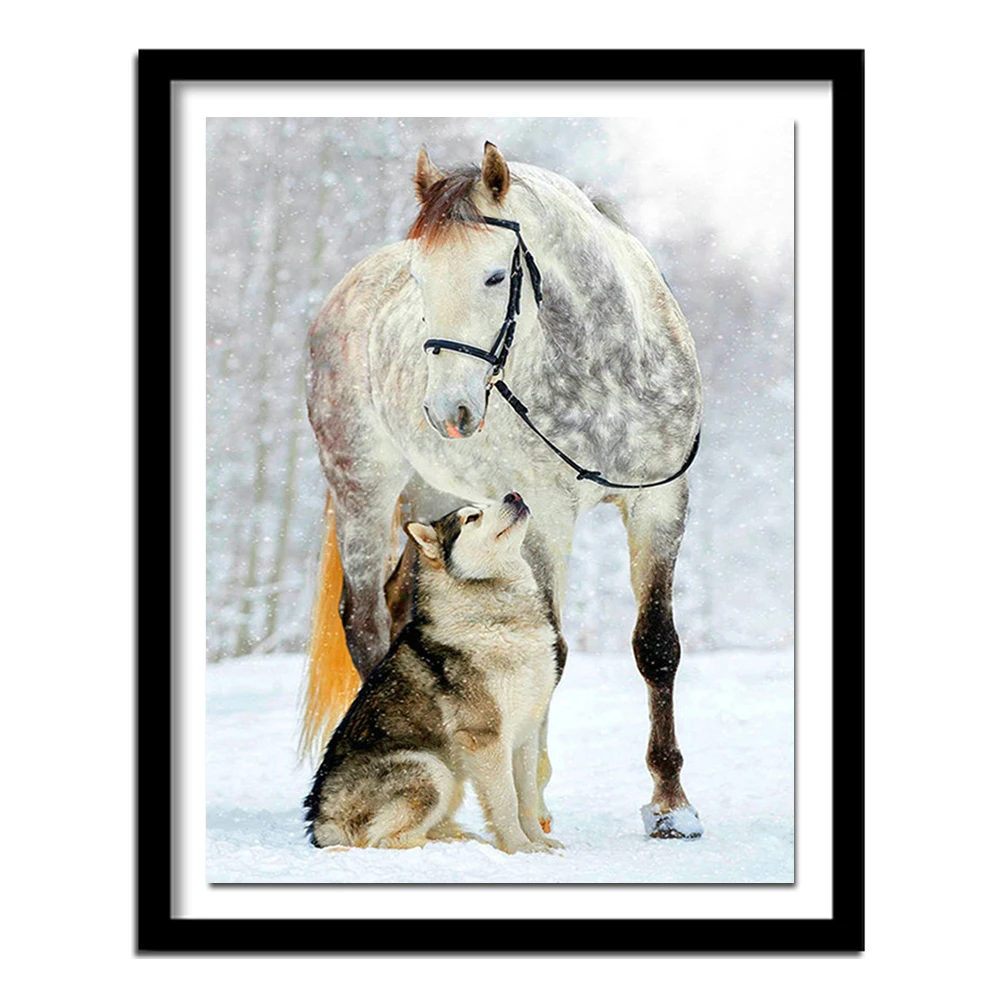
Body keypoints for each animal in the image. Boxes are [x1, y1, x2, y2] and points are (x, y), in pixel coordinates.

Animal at [303, 492, 563, 854]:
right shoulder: (486, 736)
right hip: (431, 768)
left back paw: (457, 836)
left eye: (489, 500)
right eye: (472, 518)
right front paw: (519, 848)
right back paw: (442, 845)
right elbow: (506, 800)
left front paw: (539, 843)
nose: (513, 494)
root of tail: (320, 824)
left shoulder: (526, 731)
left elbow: (526, 797)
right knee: (384, 841)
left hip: (449, 777)